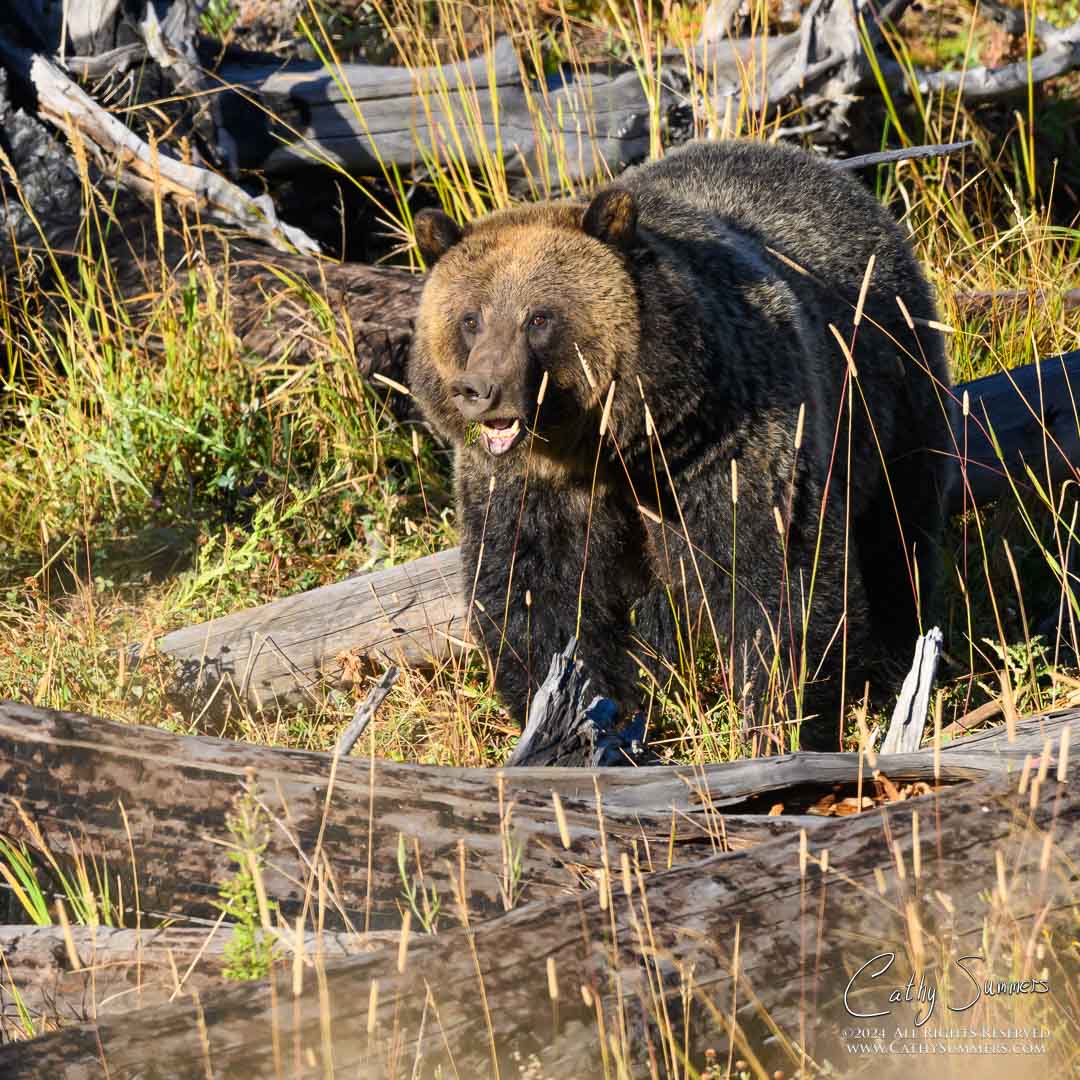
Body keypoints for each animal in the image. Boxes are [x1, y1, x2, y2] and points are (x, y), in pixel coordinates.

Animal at [408, 139, 956, 750]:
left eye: (539, 318)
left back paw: (902, 644)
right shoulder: (531, 488)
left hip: (886, 378)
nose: (480, 389)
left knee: (901, 518)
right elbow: (534, 593)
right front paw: (584, 716)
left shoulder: (727, 442)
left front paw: (776, 714)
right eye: (470, 318)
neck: (613, 443)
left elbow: (774, 571)